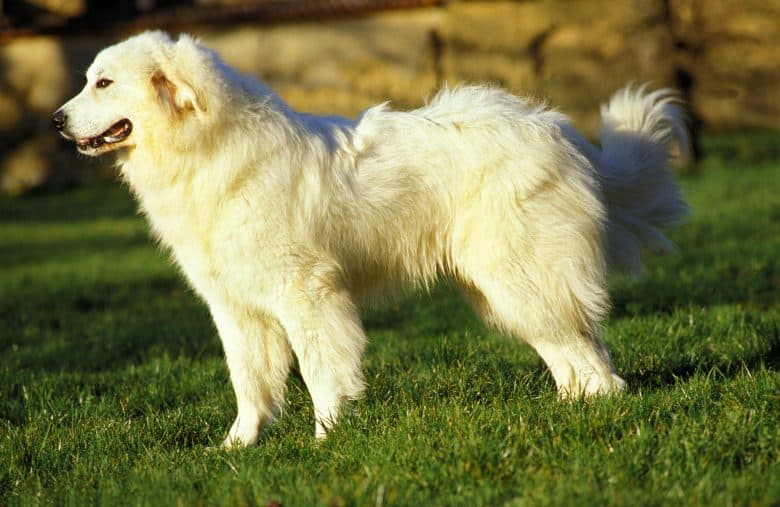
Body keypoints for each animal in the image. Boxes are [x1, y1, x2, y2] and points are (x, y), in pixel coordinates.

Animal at [53, 30, 688, 448]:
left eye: (103, 83)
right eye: (87, 81)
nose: (56, 121)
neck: (205, 149)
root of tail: (557, 130)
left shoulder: (308, 295)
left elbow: (320, 371)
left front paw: (325, 441)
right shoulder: (236, 307)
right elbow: (249, 383)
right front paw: (237, 448)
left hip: (518, 278)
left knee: (591, 359)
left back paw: (593, 414)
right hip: (508, 288)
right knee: (574, 350)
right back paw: (569, 410)